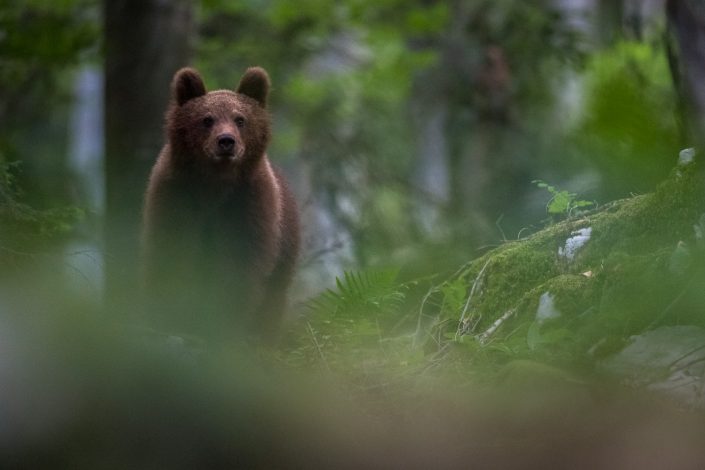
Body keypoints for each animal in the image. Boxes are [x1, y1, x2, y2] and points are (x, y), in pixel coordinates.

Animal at [142, 66, 298, 338]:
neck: (215, 185)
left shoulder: (247, 203)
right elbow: (172, 251)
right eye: (207, 119)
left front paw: (223, 322)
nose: (226, 141)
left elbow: (239, 262)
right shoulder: (177, 195)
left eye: (240, 119)